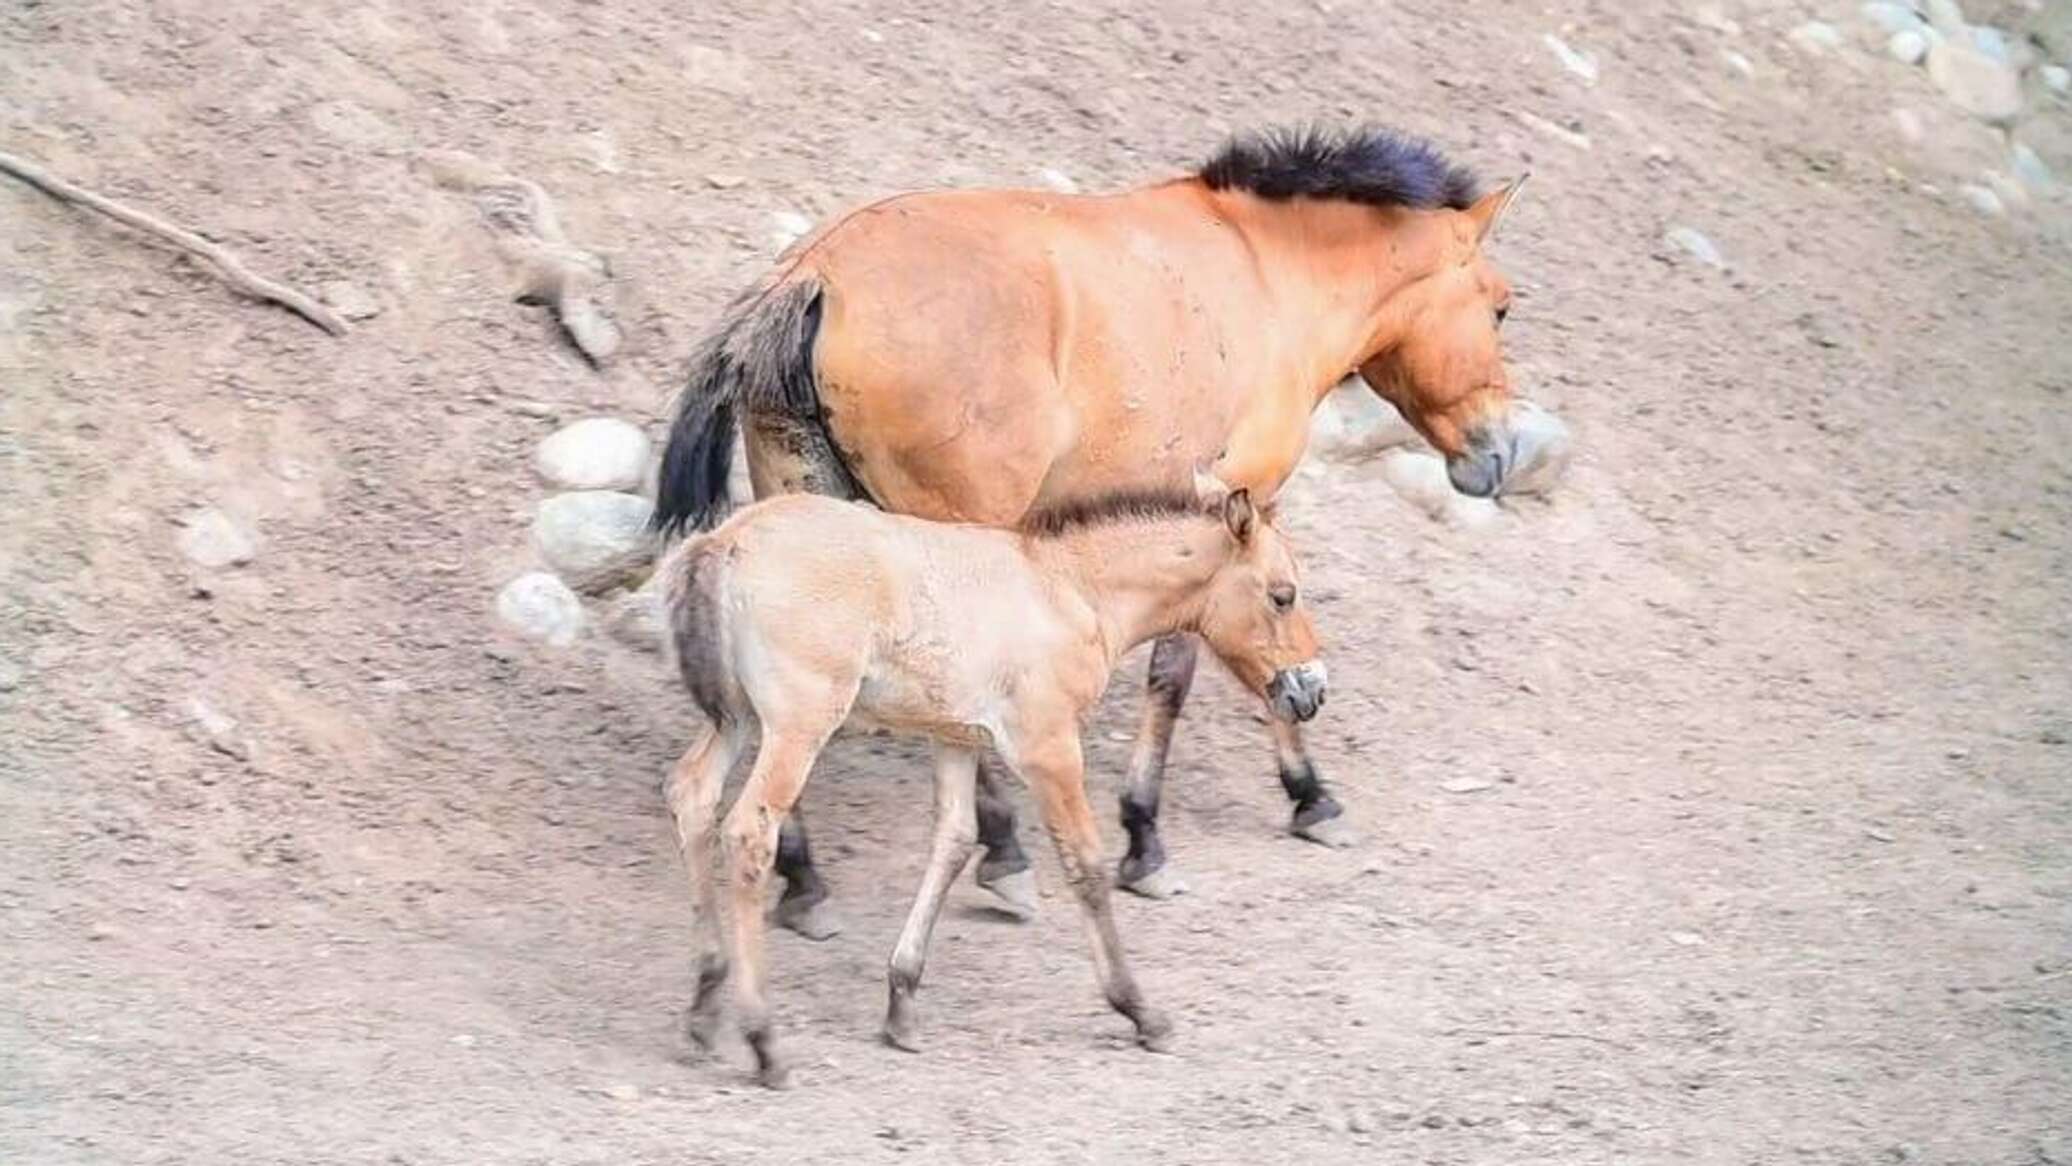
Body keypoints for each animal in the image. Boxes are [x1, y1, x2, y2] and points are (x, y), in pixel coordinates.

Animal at [650, 124, 1551, 926]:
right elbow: (1198, 668)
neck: (1267, 274)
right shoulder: (1241, 505)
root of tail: (818, 273)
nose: (1503, 452)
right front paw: (1190, 827)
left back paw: (806, 881)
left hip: (808, 505)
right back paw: (1005, 857)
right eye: (1502, 309)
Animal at [660, 475, 1323, 1088]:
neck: (1071, 588)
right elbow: (1085, 865)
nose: (1312, 691)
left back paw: (705, 1002)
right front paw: (1140, 1011)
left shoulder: (956, 738)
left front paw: (902, 1004)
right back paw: (763, 1039)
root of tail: (725, 541)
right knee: (748, 832)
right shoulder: (1047, 746)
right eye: (1282, 595)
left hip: (738, 719)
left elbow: (953, 843)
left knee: (691, 795)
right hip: (798, 725)